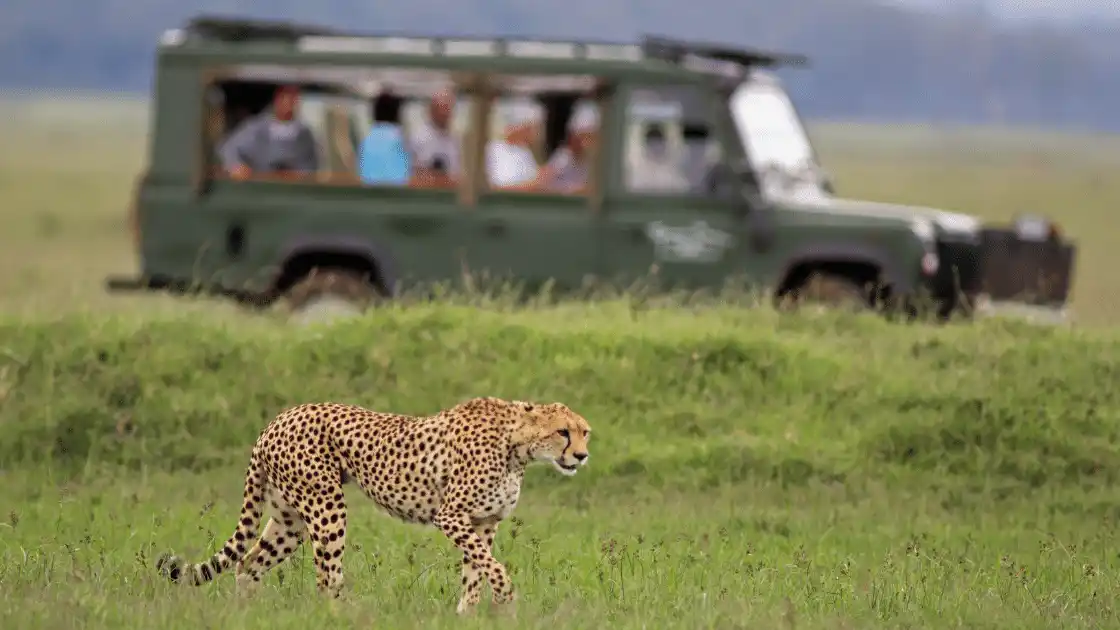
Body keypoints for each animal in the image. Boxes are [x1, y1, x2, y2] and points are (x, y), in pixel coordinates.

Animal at [155, 396, 592, 613]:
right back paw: (346, 615)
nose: (582, 456)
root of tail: (277, 420)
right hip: (326, 505)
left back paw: (247, 616)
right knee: (326, 578)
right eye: (563, 432)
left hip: (289, 520)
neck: (518, 445)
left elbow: (476, 573)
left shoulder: (483, 522)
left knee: (247, 565)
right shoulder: (452, 516)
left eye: (584, 432)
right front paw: (507, 599)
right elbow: (493, 568)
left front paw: (468, 614)